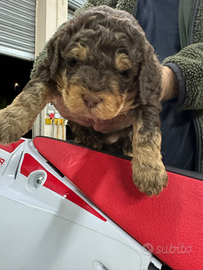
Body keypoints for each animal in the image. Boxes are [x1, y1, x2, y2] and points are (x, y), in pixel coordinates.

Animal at [0, 5, 168, 195]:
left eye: (123, 72)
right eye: (74, 61)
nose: (91, 99)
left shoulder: (149, 96)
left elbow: (147, 132)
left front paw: (150, 171)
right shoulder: (48, 70)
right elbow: (31, 94)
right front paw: (9, 121)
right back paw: (88, 140)